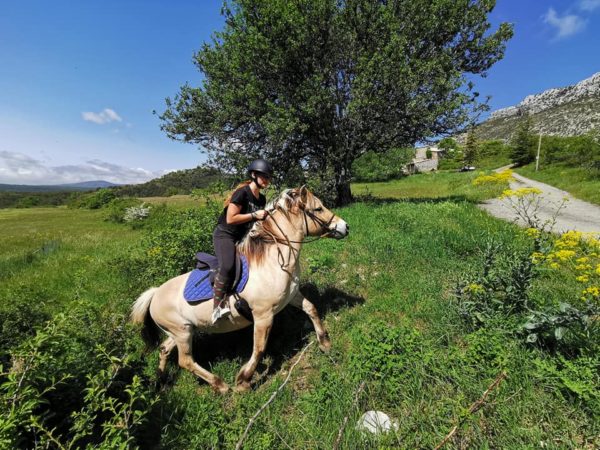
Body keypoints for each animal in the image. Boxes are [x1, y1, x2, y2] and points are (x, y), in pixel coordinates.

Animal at [131, 187, 346, 394]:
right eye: (318, 208)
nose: (345, 226)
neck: (274, 261)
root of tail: (155, 293)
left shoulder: (292, 296)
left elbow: (311, 308)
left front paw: (325, 343)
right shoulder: (263, 315)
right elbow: (259, 348)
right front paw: (243, 381)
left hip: (180, 331)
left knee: (164, 349)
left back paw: (160, 380)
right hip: (182, 332)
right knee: (185, 361)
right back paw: (221, 385)